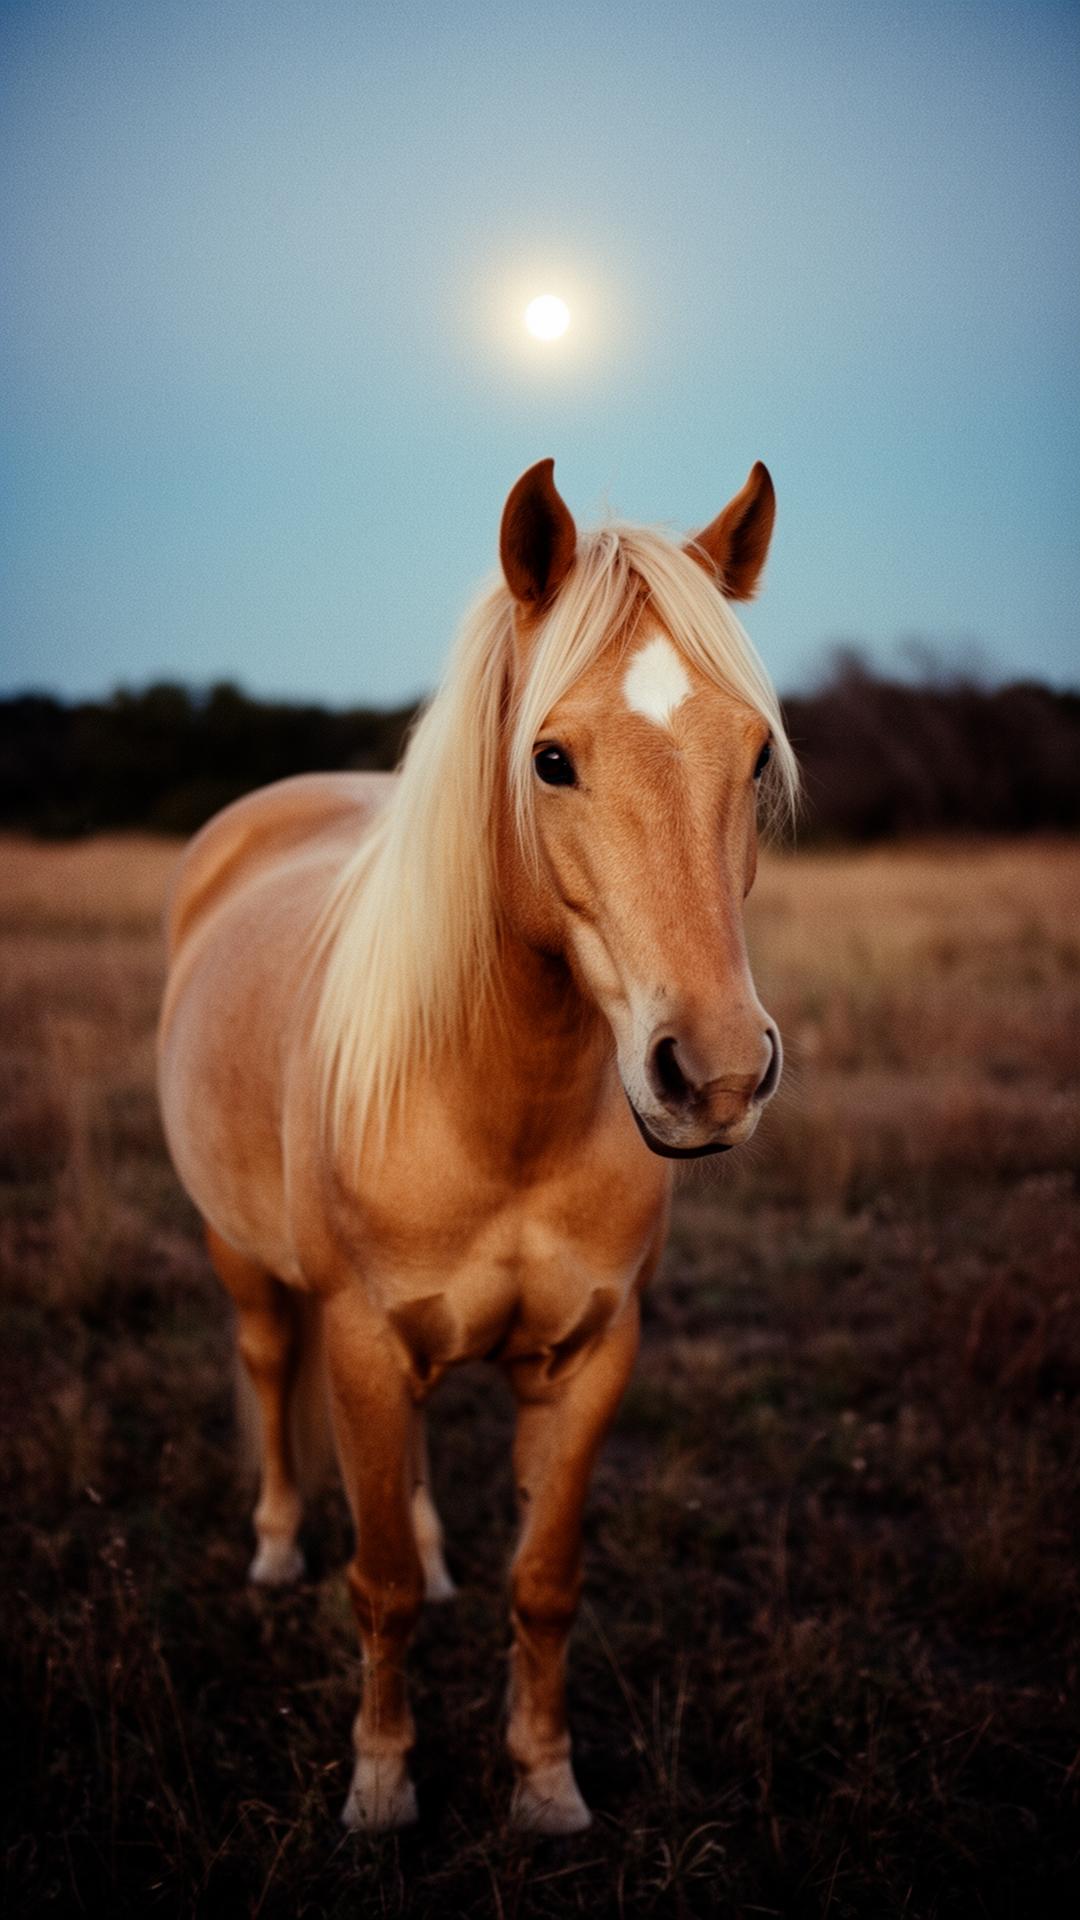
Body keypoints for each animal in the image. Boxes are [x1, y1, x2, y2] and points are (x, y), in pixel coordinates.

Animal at [156, 456, 798, 1836]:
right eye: (550, 758)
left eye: (756, 754)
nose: (716, 1075)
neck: (500, 1108)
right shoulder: (357, 1338)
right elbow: (378, 1585)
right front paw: (384, 1785)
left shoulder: (591, 1355)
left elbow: (542, 1582)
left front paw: (546, 1783)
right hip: (245, 1260)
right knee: (267, 1370)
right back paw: (275, 1546)